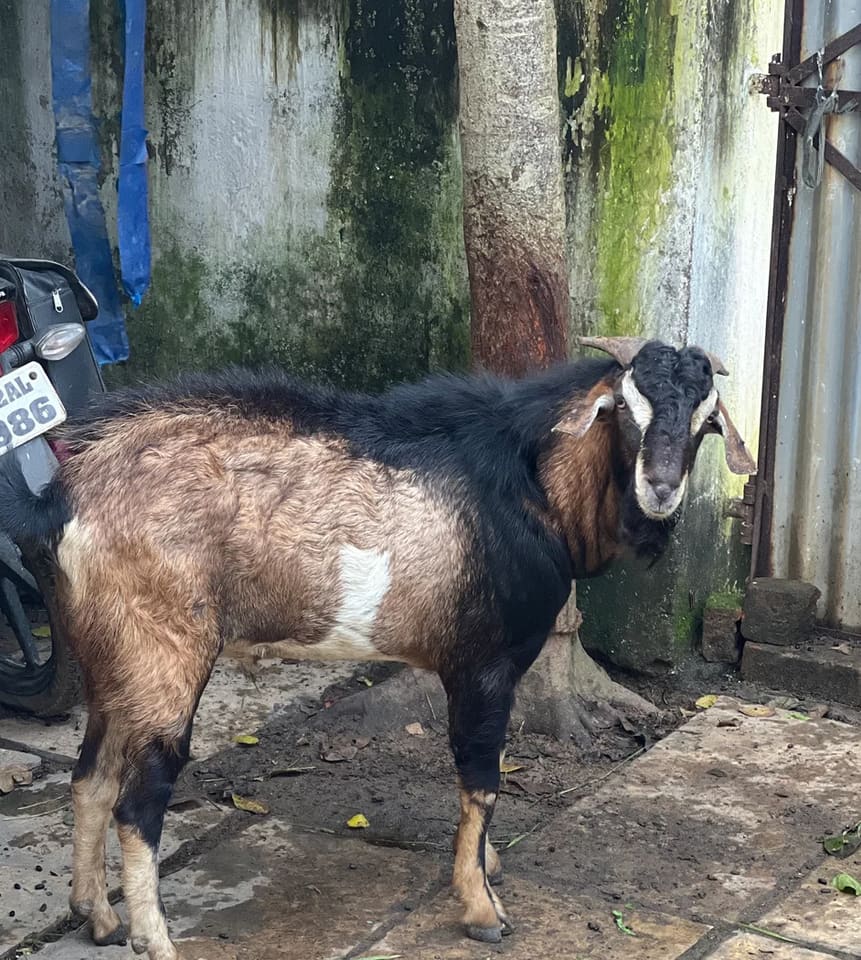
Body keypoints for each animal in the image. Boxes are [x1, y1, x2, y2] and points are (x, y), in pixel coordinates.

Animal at [0, 337, 755, 959]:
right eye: (625, 409)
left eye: (704, 421)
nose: (660, 489)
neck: (531, 483)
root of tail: (68, 494)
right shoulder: (482, 663)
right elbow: (482, 778)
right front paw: (481, 905)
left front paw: (483, 865)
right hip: (163, 655)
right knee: (137, 804)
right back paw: (153, 941)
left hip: (109, 656)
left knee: (89, 778)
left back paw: (97, 916)